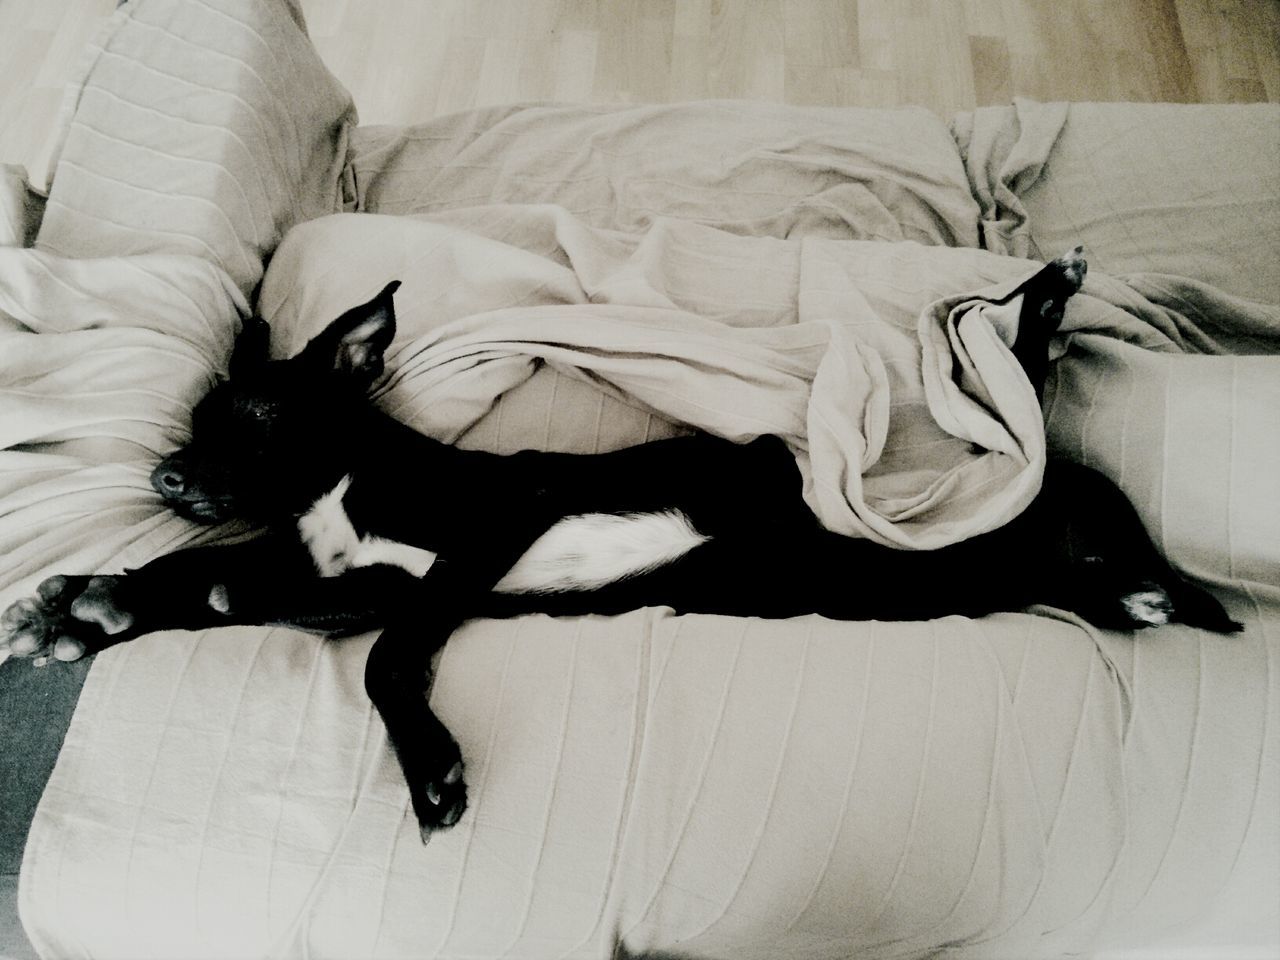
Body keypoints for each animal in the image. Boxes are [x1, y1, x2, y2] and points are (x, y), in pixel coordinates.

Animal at [0, 249, 1239, 839]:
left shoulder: (488, 529)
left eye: (254, 416)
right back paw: (1161, 594)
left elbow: (385, 660)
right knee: (1094, 556)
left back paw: (1041, 308)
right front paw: (87, 603)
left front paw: (432, 772)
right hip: (1032, 567)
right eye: (195, 420)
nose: (160, 478)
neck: (346, 491)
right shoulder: (335, 590)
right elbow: (212, 583)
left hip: (1015, 481)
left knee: (1009, 391)